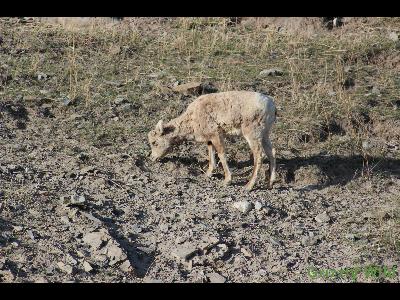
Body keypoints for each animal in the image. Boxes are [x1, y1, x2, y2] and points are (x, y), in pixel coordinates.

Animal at [148, 90, 276, 191]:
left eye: (154, 142)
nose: (152, 158)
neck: (192, 120)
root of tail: (272, 106)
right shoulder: (209, 139)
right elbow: (211, 154)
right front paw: (208, 174)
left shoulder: (216, 135)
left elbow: (221, 155)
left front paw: (227, 180)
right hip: (264, 134)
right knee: (272, 152)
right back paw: (270, 183)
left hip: (252, 133)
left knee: (259, 156)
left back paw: (248, 186)